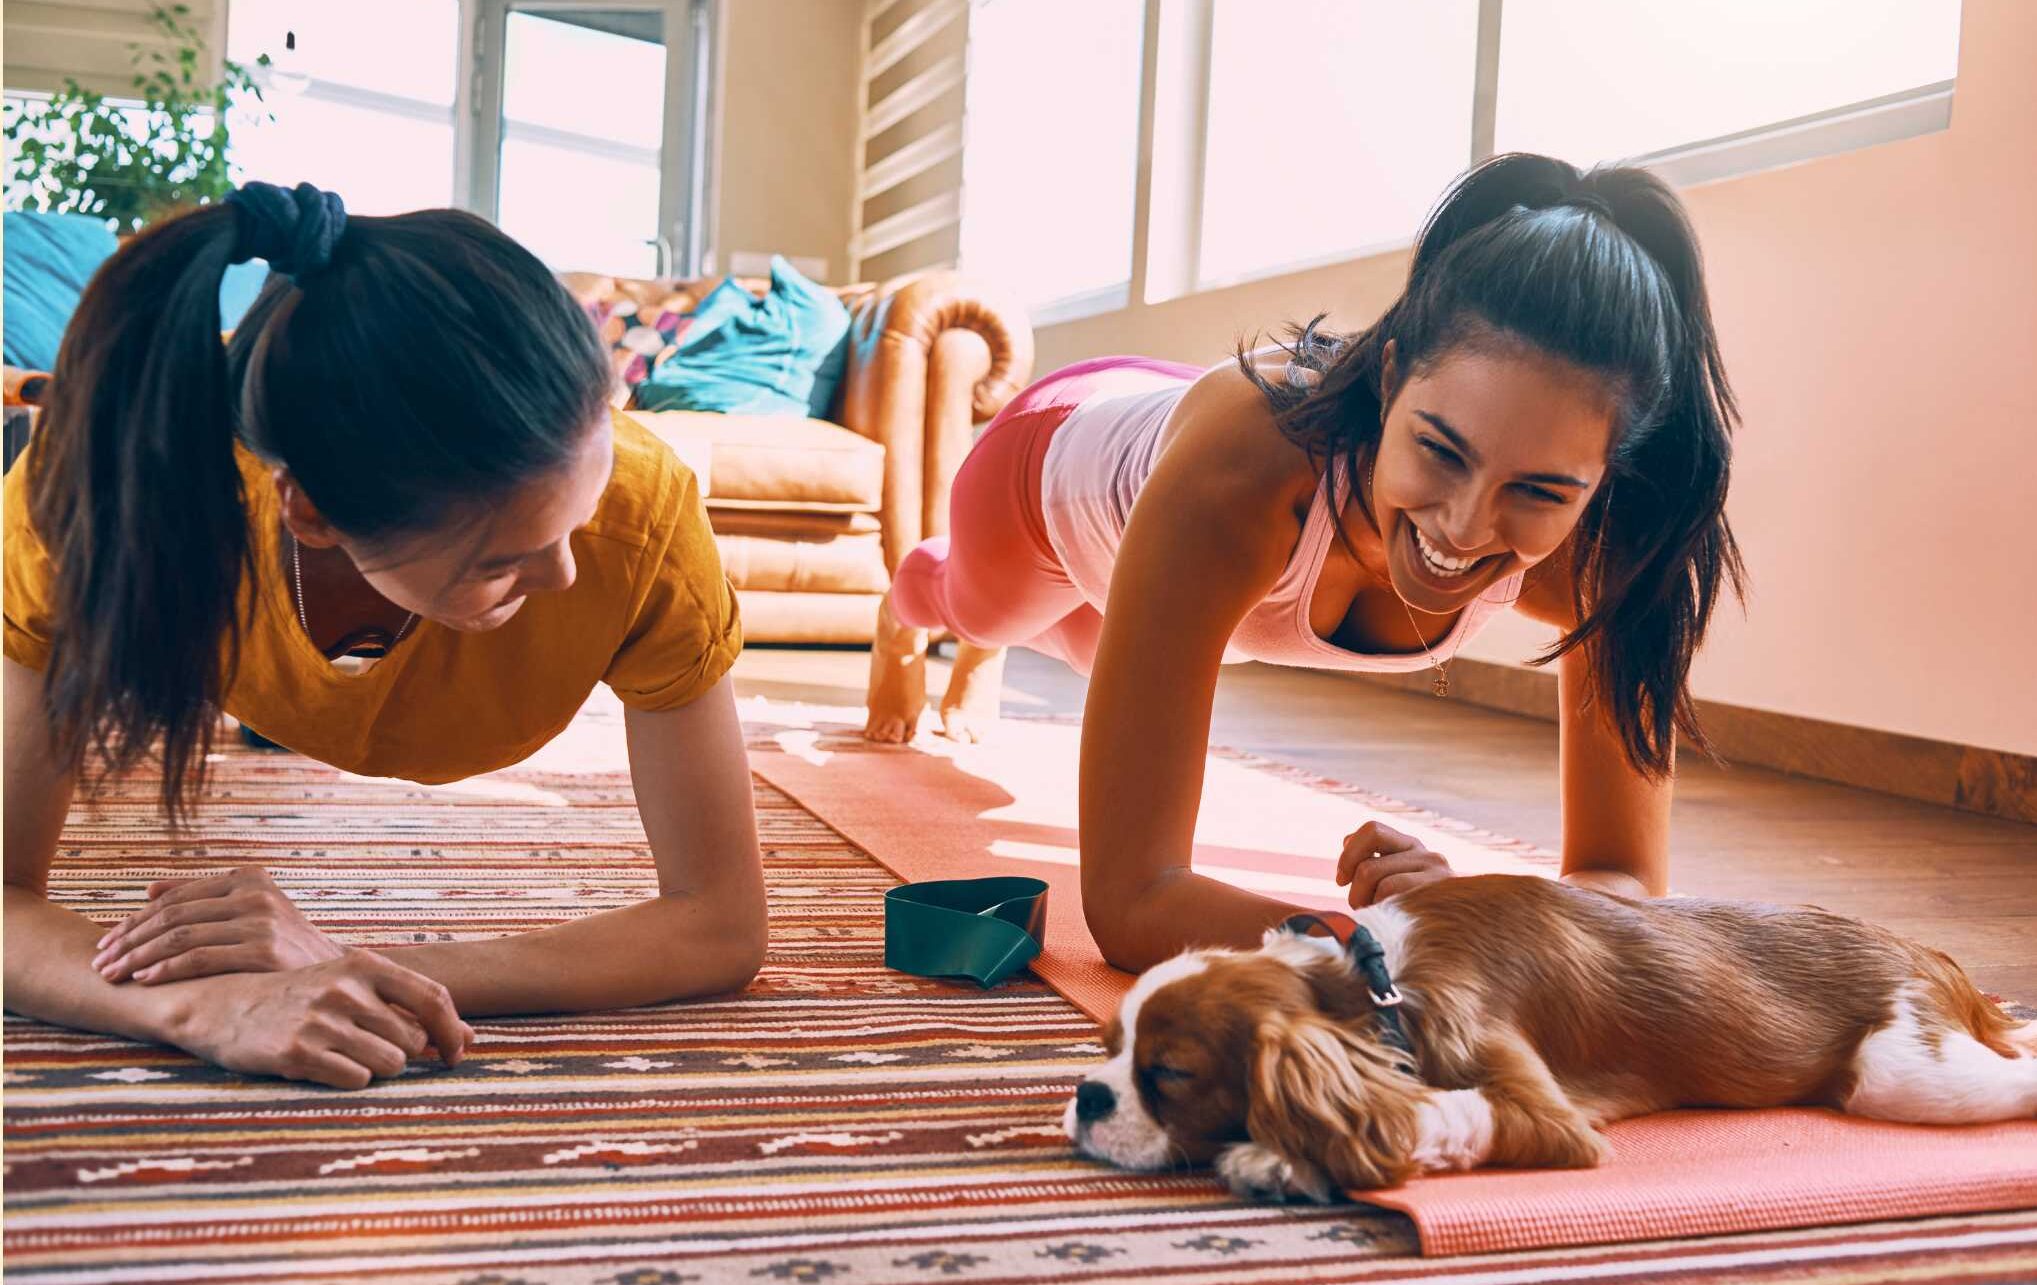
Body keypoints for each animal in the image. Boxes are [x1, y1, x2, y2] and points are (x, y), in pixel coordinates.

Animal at [1067, 879, 2037, 1205]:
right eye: (1106, 1045)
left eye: (1168, 1073)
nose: (1086, 1093)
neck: (1377, 983)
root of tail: (1929, 952)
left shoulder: (1543, 1112)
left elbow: (1432, 1112)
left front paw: (1280, 1155)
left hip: (1905, 1070)